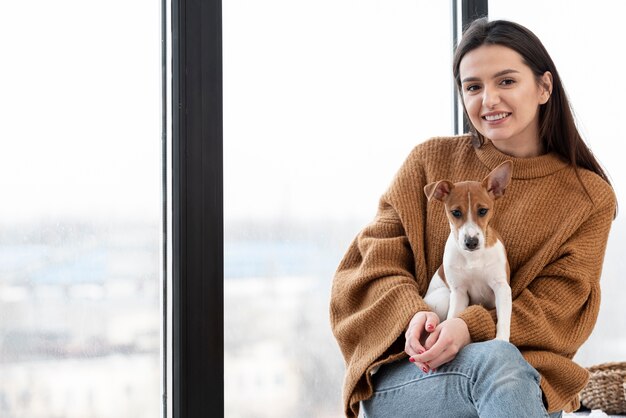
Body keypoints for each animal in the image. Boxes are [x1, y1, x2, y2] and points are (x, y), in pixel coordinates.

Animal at [422, 162, 510, 342]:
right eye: (456, 212)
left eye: (483, 211)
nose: (471, 242)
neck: (473, 257)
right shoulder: (459, 293)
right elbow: (452, 318)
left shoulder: (502, 287)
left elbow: (504, 319)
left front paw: (502, 340)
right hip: (445, 295)